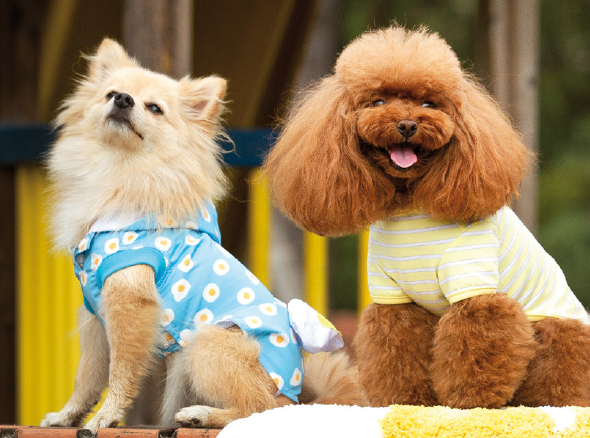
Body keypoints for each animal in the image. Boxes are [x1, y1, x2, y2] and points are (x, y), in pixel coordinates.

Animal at [40, 38, 365, 433]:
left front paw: (106, 415)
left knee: (257, 407)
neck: (121, 173)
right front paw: (67, 415)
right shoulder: (95, 315)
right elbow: (86, 376)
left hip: (205, 343)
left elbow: (121, 371)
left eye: (154, 108)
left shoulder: (129, 305)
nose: (123, 100)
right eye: (111, 94)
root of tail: (300, 393)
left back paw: (201, 415)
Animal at [264, 26, 590, 409]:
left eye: (428, 104)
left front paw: (469, 400)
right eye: (377, 101)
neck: (410, 203)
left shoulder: (473, 287)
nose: (407, 125)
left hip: (557, 330)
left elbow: (476, 345)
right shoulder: (393, 299)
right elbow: (396, 351)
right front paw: (405, 399)